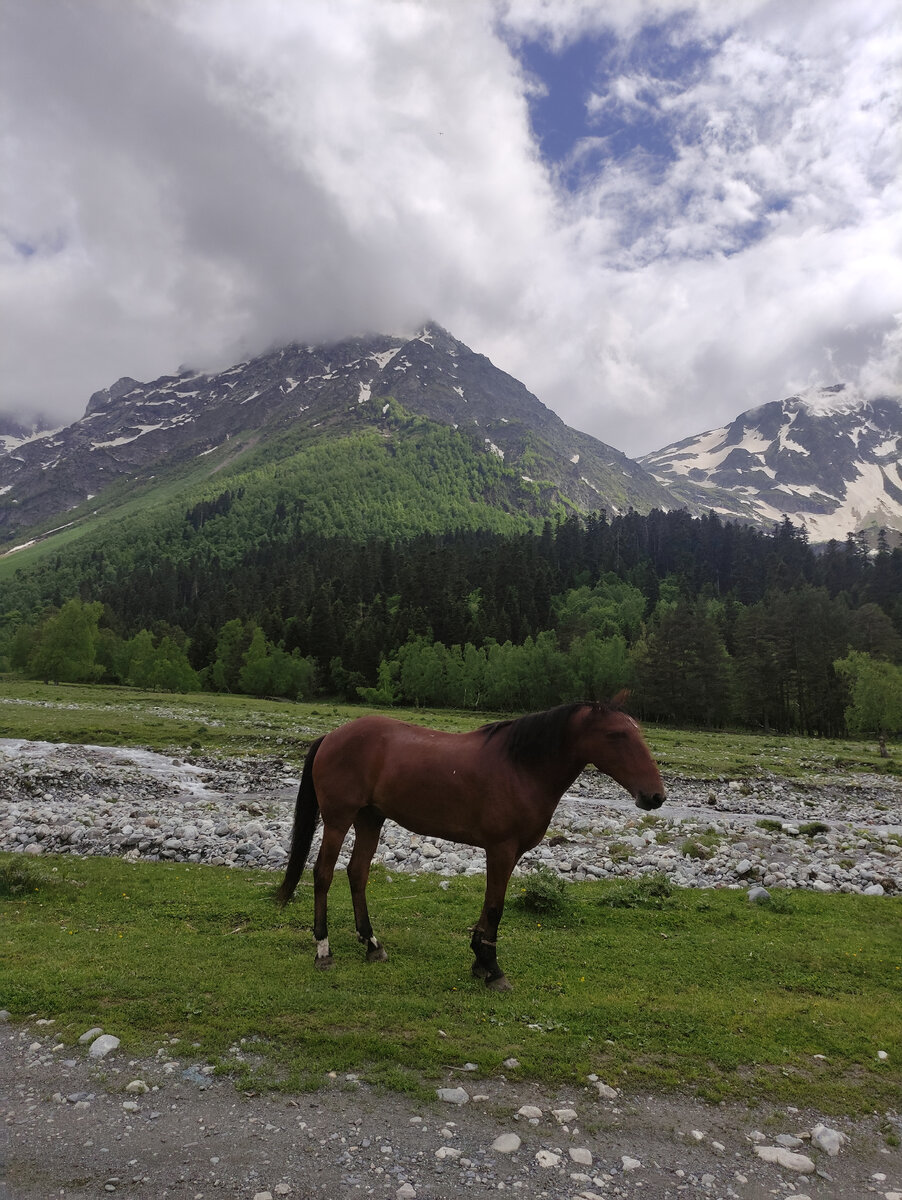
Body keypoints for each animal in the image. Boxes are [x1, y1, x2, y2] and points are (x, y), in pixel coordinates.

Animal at [278, 700, 666, 988]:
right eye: (616, 735)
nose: (655, 796)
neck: (521, 768)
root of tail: (332, 736)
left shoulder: (506, 852)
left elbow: (490, 906)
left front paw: (480, 960)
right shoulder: (501, 849)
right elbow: (495, 907)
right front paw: (492, 968)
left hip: (370, 819)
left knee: (357, 874)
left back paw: (373, 945)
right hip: (338, 820)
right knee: (323, 875)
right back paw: (323, 950)